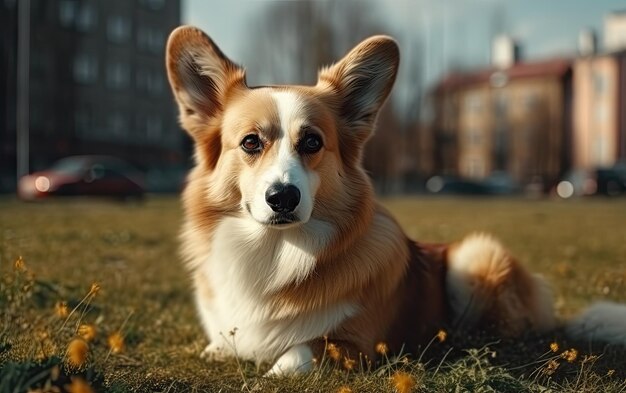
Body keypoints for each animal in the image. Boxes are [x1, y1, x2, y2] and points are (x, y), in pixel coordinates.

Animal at [165, 26, 624, 376]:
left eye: (312, 142)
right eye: (250, 143)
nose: (282, 198)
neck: (275, 251)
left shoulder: (356, 345)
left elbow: (298, 352)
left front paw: (272, 370)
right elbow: (220, 344)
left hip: (476, 255)